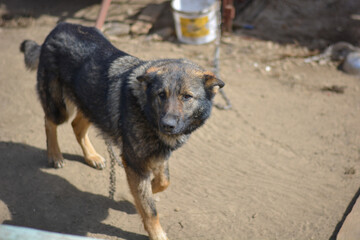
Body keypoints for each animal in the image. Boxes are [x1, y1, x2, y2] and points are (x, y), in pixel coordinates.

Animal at [19, 22, 224, 240]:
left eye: (187, 97)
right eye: (162, 95)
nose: (167, 125)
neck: (145, 109)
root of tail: (59, 27)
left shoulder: (157, 155)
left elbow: (163, 181)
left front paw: (144, 193)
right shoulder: (135, 162)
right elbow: (150, 208)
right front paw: (156, 232)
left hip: (91, 105)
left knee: (77, 126)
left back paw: (91, 157)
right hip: (60, 108)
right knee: (49, 122)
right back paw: (55, 155)